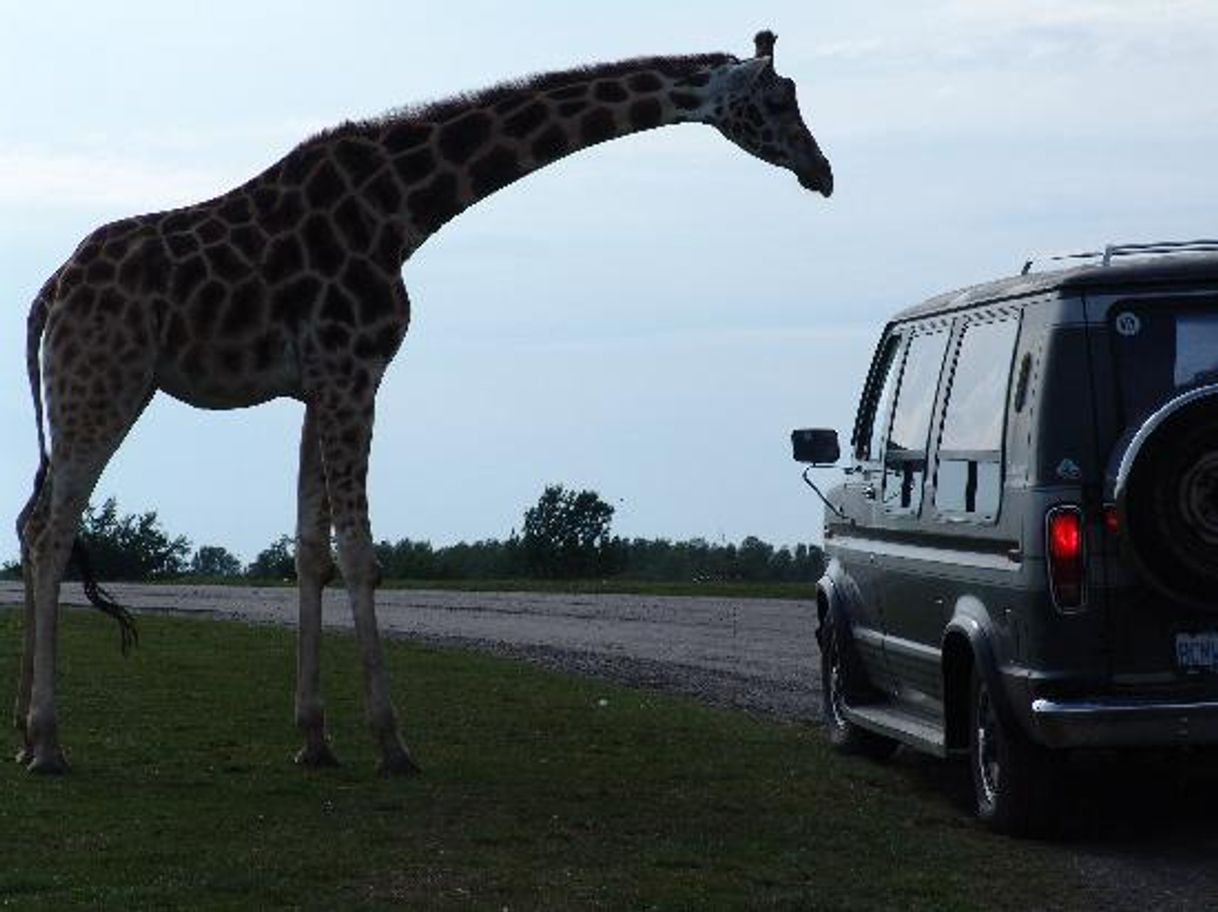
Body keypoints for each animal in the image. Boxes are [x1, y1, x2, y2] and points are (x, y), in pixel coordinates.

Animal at [16, 28, 828, 774]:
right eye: (779, 100)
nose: (821, 171)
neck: (404, 210)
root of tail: (48, 293)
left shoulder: (318, 385)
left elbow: (311, 551)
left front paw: (315, 738)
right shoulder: (355, 370)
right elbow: (359, 552)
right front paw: (391, 741)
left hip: (84, 389)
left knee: (29, 523)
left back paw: (24, 732)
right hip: (105, 381)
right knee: (53, 531)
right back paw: (49, 743)